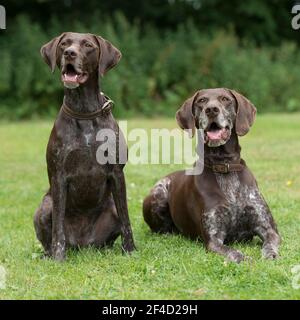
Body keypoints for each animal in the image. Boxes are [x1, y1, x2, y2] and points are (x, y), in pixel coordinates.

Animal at [33, 31, 135, 260]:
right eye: (64, 44)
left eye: (88, 45)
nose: (70, 53)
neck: (85, 112)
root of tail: (83, 244)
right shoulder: (59, 176)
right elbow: (58, 227)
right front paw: (58, 258)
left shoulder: (117, 173)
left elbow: (126, 220)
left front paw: (131, 250)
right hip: (43, 207)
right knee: (50, 236)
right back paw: (49, 254)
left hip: (110, 209)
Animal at [144, 88, 280, 262]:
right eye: (201, 101)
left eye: (225, 99)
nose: (211, 110)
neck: (224, 166)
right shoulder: (214, 239)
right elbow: (235, 253)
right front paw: (249, 260)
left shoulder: (268, 228)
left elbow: (270, 244)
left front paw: (270, 255)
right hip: (158, 194)